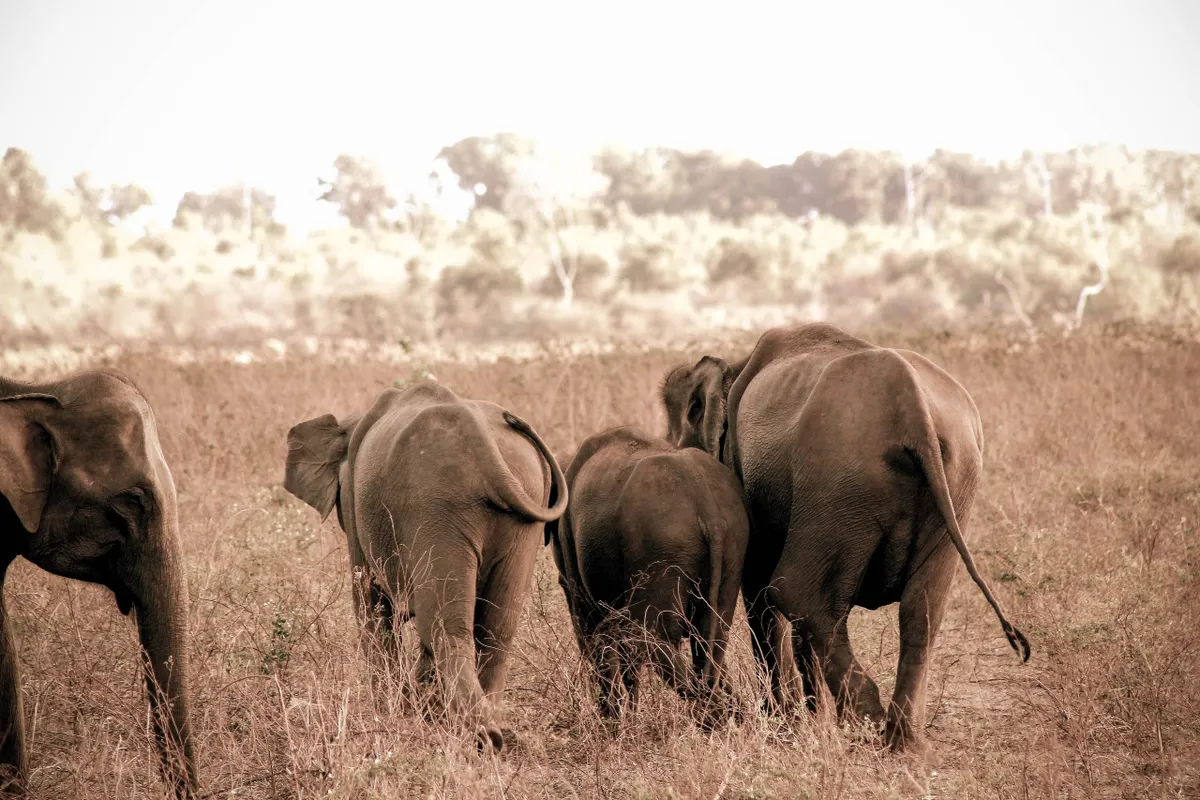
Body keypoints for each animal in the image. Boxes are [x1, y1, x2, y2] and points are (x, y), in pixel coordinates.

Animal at [283, 380, 567, 752]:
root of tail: (483, 444)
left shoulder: (358, 513)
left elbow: (371, 605)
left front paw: (395, 713)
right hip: (525, 508)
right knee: (497, 627)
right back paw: (493, 731)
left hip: (436, 506)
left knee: (445, 627)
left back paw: (480, 736)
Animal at [544, 426, 750, 729]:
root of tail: (709, 513)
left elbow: (594, 630)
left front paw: (613, 723)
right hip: (733, 550)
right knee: (712, 640)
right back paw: (724, 717)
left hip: (661, 551)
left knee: (649, 638)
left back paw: (710, 719)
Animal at [660, 322, 1030, 756]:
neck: (733, 364)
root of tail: (914, 412)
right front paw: (809, 719)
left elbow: (759, 587)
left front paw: (789, 724)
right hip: (952, 483)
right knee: (921, 609)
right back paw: (902, 743)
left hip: (837, 482)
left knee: (796, 593)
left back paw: (864, 724)